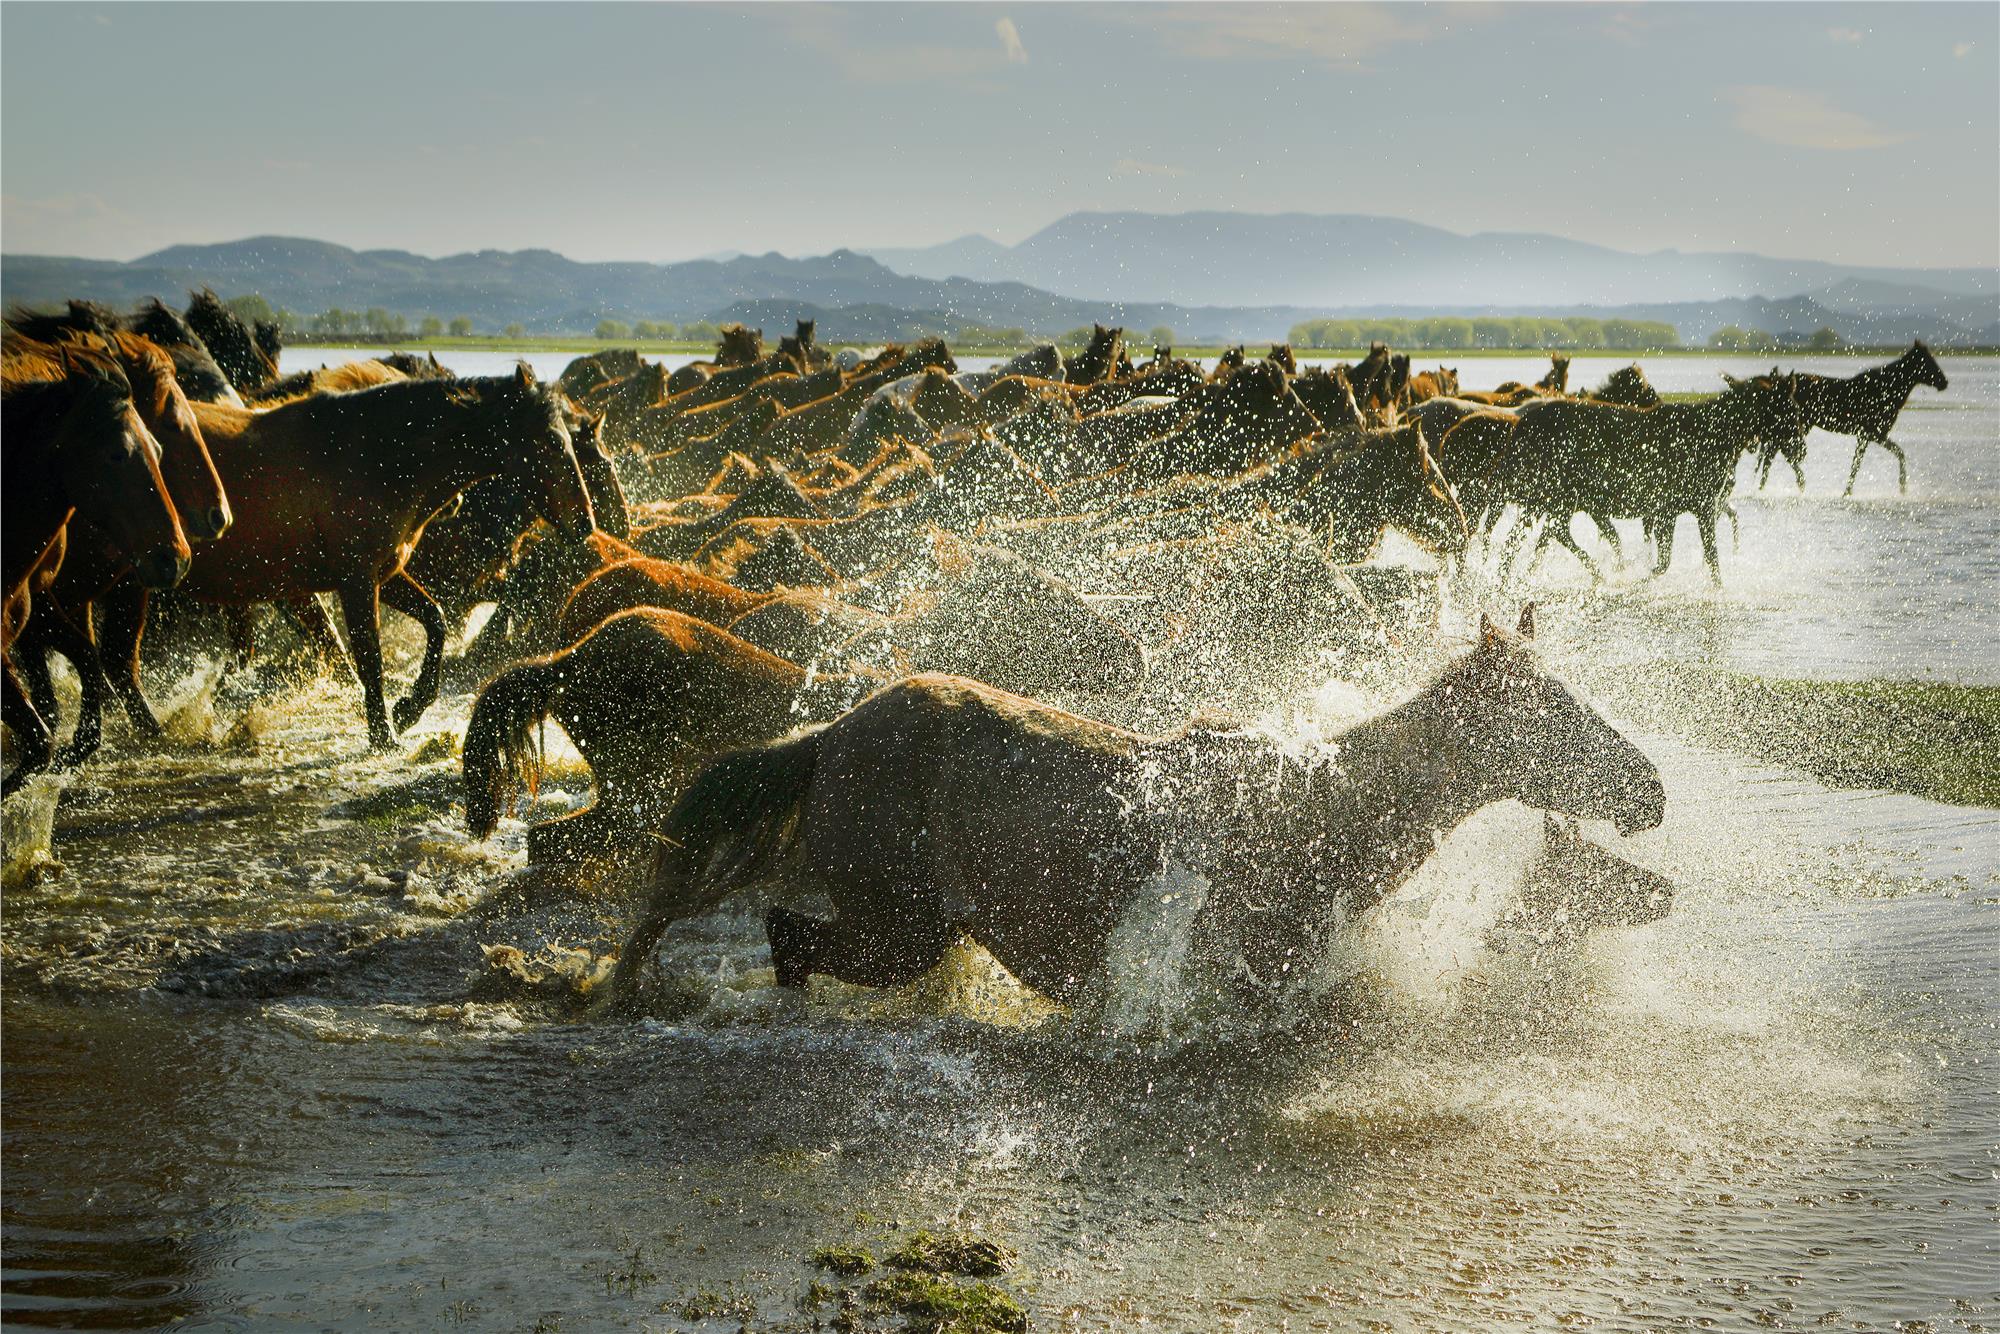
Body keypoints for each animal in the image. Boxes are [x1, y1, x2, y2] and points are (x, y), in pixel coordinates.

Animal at [608, 612, 1672, 1012]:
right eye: (1552, 710)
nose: (1653, 792)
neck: (1330, 811)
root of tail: (830, 737)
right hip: (895, 924)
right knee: (788, 937)